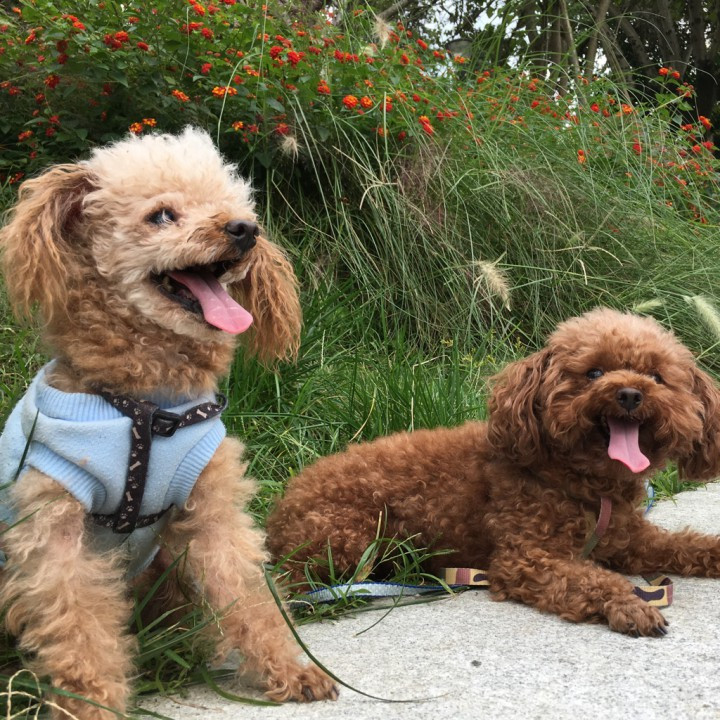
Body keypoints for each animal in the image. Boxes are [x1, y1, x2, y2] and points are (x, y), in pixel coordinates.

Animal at [0, 128, 337, 719]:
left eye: (237, 206)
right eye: (162, 215)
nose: (245, 230)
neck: (145, 405)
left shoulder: (213, 508)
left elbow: (246, 591)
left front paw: (290, 669)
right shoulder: (54, 525)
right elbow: (78, 625)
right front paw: (88, 704)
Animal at [267, 308, 720, 636]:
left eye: (657, 376)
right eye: (594, 372)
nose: (629, 393)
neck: (587, 486)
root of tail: (283, 502)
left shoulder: (631, 541)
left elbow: (680, 543)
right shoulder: (526, 556)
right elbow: (593, 579)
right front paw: (628, 603)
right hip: (347, 536)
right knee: (296, 578)